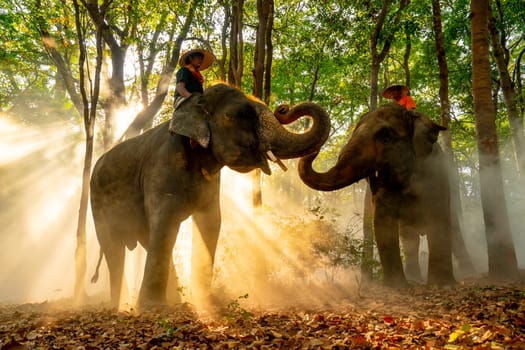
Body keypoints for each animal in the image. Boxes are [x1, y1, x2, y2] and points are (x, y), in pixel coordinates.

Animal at [88, 82, 330, 306]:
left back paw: (172, 303)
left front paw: (205, 304)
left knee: (144, 240)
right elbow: (165, 221)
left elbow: (211, 222)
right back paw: (119, 307)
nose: (283, 108)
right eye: (242, 114)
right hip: (98, 202)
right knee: (114, 248)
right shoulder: (162, 164)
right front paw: (153, 309)